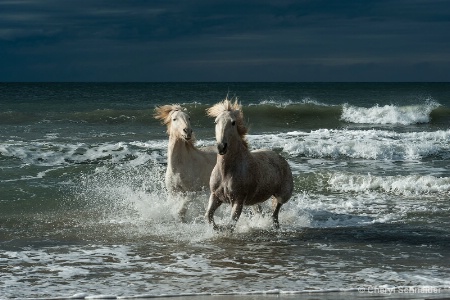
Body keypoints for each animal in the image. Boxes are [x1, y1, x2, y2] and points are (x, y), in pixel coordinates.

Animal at [206, 97, 294, 231]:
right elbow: (209, 216)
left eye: (233, 122)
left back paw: (275, 226)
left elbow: (231, 224)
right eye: (216, 122)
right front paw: (218, 228)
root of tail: (281, 158)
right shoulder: (215, 196)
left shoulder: (238, 201)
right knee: (261, 211)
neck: (226, 171)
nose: (221, 147)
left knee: (275, 212)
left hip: (282, 196)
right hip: (254, 201)